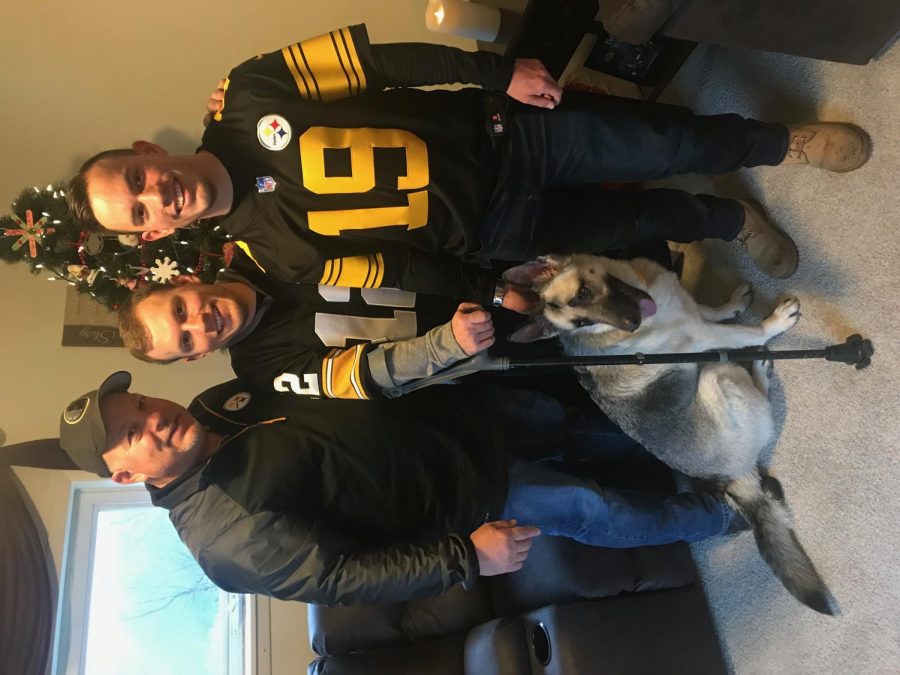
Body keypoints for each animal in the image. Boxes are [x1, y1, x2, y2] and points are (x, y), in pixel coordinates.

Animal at [506, 256, 836, 616]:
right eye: (581, 322)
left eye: (582, 297)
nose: (632, 324)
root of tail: (735, 476)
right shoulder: (704, 337)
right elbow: (747, 332)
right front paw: (773, 323)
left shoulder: (691, 310)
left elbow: (708, 309)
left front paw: (731, 305)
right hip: (716, 375)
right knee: (760, 399)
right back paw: (760, 369)